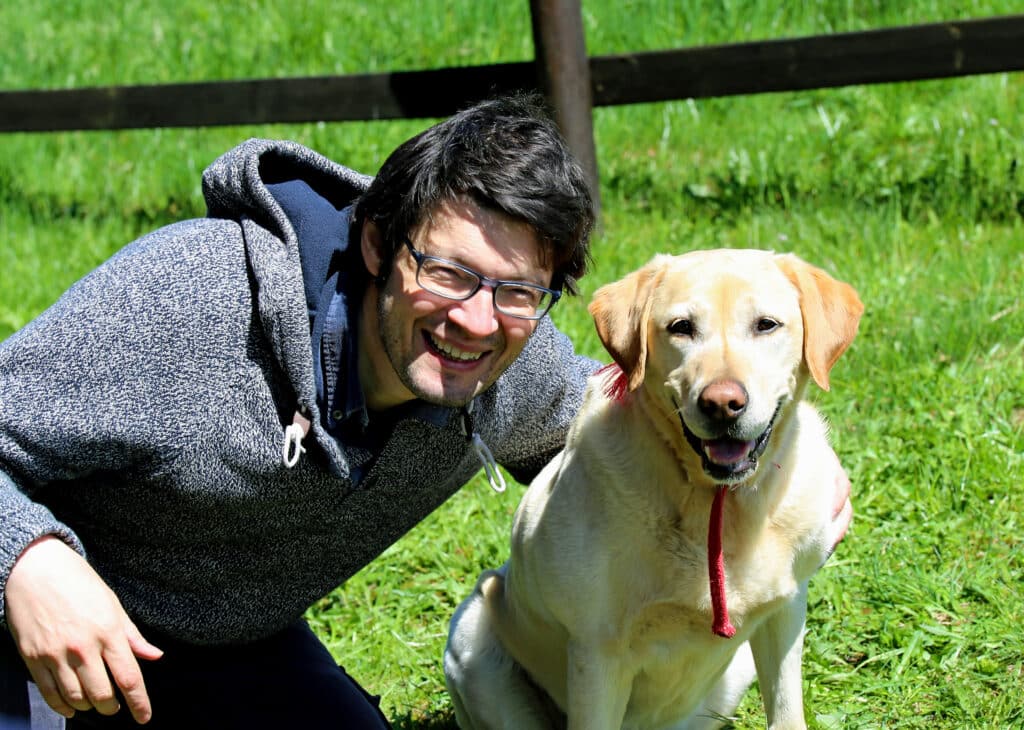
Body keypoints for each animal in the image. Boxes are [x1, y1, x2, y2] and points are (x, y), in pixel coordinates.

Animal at [444, 248, 860, 728]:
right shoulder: (597, 656)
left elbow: (787, 713)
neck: (716, 503)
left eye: (766, 324)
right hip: (472, 639)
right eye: (681, 327)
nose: (722, 404)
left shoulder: (784, 612)